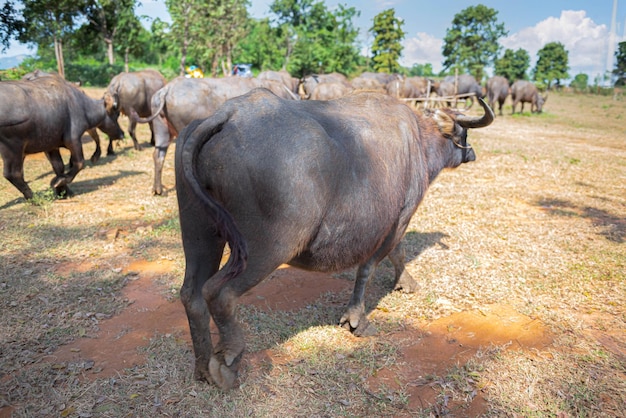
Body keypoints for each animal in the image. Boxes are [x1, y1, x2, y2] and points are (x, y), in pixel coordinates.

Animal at [172, 87, 492, 388]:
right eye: (464, 133)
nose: (473, 153)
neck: (419, 143)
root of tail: (228, 114)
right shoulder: (400, 217)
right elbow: (372, 265)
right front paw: (357, 320)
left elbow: (397, 254)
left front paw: (405, 283)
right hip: (267, 247)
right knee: (218, 292)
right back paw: (227, 363)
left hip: (200, 231)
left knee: (192, 294)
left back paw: (203, 367)